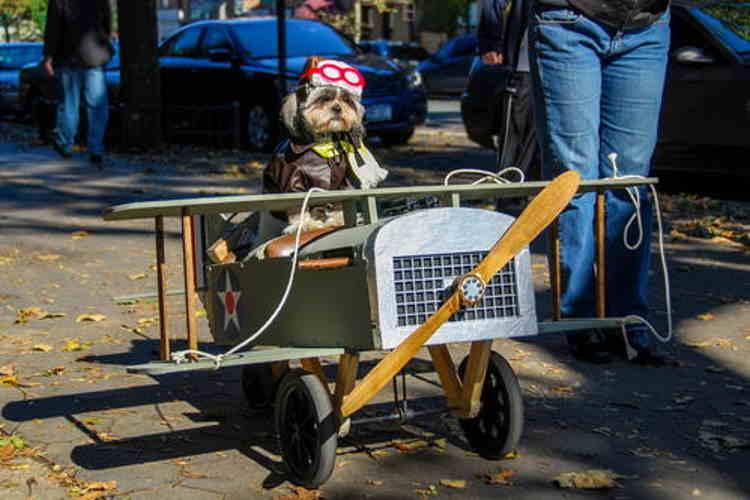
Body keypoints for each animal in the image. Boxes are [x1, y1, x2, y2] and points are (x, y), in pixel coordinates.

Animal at [262, 55, 388, 235]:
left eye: (346, 100)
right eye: (323, 99)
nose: (337, 108)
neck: (323, 145)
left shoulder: (340, 182)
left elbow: (339, 203)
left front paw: (338, 220)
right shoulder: (291, 180)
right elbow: (297, 207)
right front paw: (305, 225)